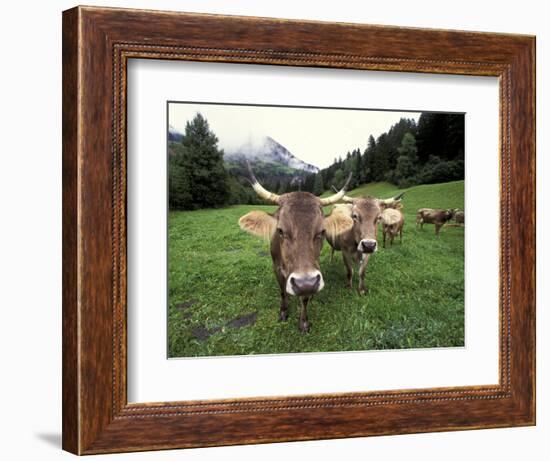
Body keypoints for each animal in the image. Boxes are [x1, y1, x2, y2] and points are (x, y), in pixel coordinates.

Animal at [240, 164, 354, 330]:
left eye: (322, 231)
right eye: (280, 230)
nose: (305, 283)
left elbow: (304, 299)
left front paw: (304, 322)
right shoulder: (277, 268)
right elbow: (282, 291)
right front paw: (283, 312)